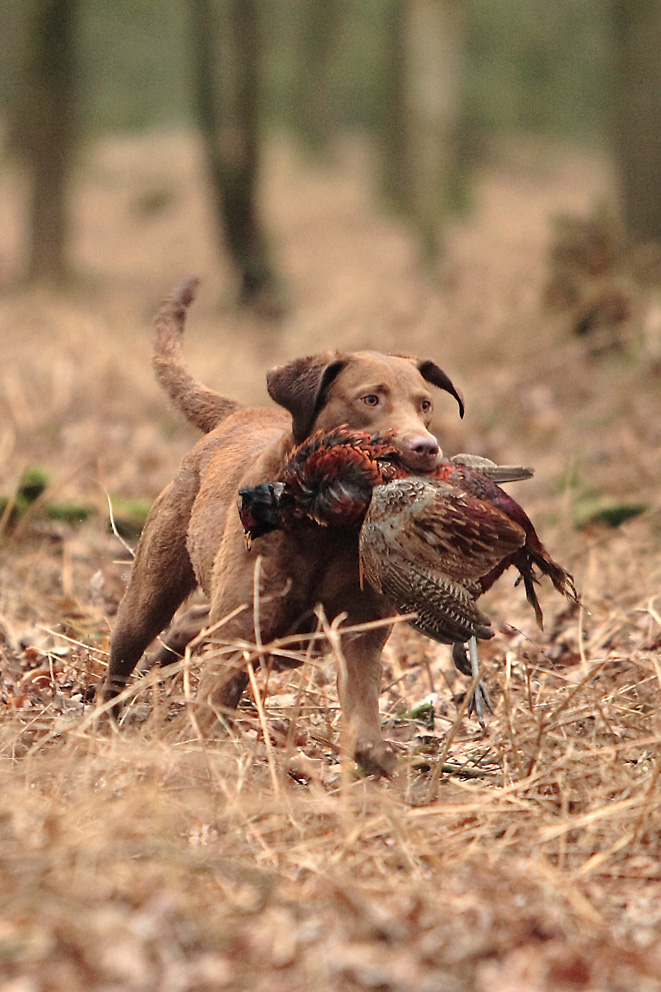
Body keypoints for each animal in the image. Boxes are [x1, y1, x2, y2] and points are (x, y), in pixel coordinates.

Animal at [103, 280, 464, 776]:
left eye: (425, 405)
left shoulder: (359, 632)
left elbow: (364, 726)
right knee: (128, 648)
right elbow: (214, 701)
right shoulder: (243, 628)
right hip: (152, 590)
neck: (326, 533)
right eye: (370, 399)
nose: (425, 447)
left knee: (192, 624)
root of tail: (237, 414)